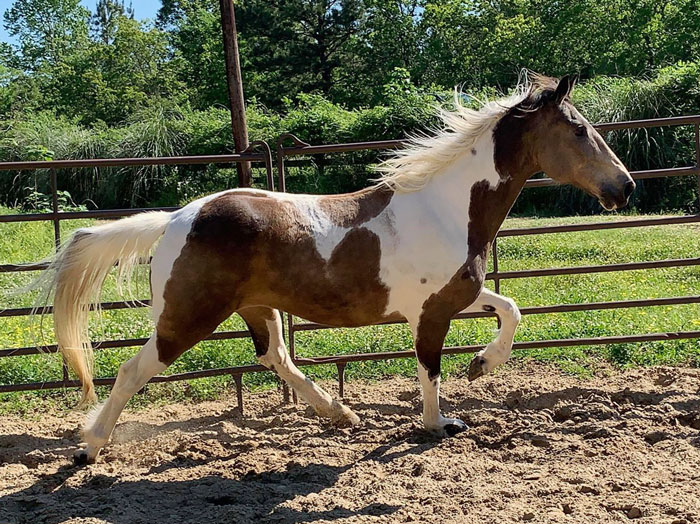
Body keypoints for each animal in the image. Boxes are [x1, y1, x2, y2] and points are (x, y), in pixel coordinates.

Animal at [31, 72, 636, 462]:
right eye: (579, 130)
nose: (625, 187)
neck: (446, 208)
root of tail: (178, 217)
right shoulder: (430, 314)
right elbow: (429, 369)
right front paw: (440, 423)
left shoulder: (452, 297)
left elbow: (510, 309)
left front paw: (481, 367)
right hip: (187, 316)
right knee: (133, 370)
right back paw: (90, 446)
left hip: (258, 308)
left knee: (274, 357)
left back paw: (341, 414)